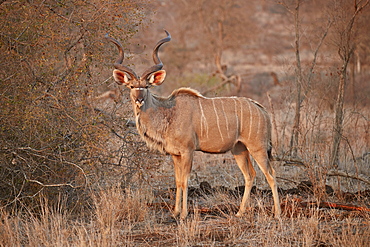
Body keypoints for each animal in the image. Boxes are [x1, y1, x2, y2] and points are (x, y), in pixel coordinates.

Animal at [106, 31, 280, 220]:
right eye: (131, 86)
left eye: (146, 86)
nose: (139, 100)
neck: (168, 113)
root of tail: (262, 110)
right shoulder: (175, 154)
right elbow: (177, 181)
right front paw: (175, 212)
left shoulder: (188, 151)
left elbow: (185, 180)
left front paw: (183, 214)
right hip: (239, 149)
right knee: (250, 175)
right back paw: (240, 212)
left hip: (257, 147)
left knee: (271, 174)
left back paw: (277, 213)